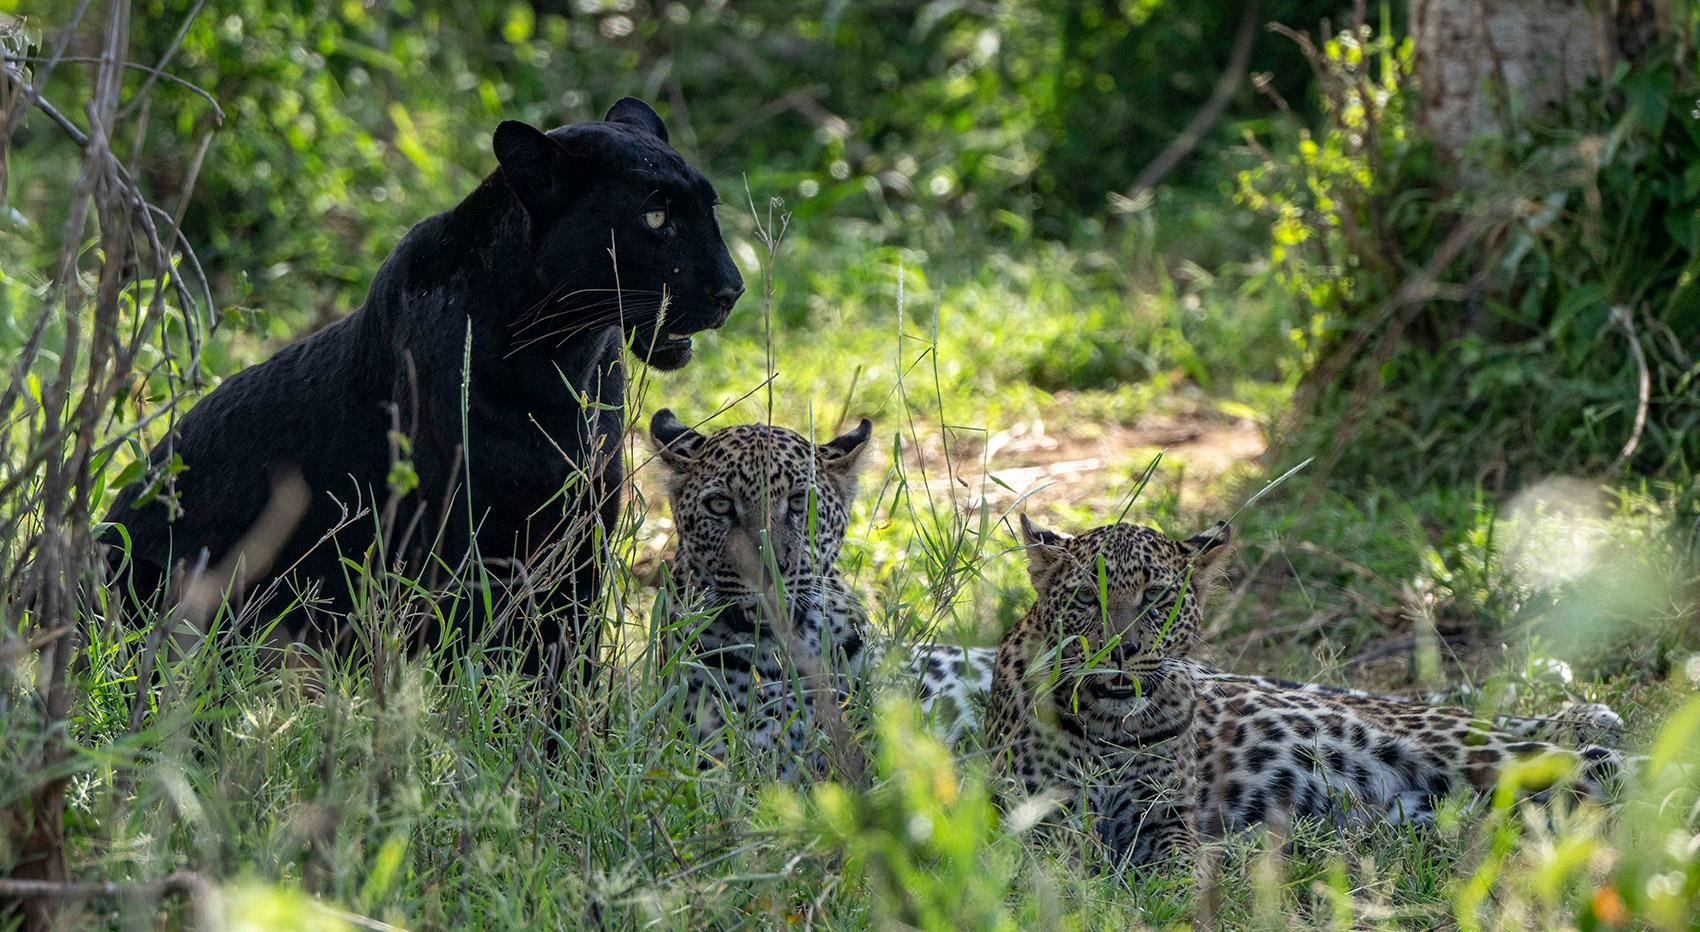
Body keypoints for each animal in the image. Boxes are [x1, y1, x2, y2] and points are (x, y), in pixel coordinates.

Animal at [984, 515, 1633, 868]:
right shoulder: (1029, 817)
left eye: (1157, 598)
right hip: (1448, 802)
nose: (1118, 652)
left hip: (1469, 748)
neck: (1108, 728)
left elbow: (1178, 863)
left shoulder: (1167, 815)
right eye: (1085, 598)